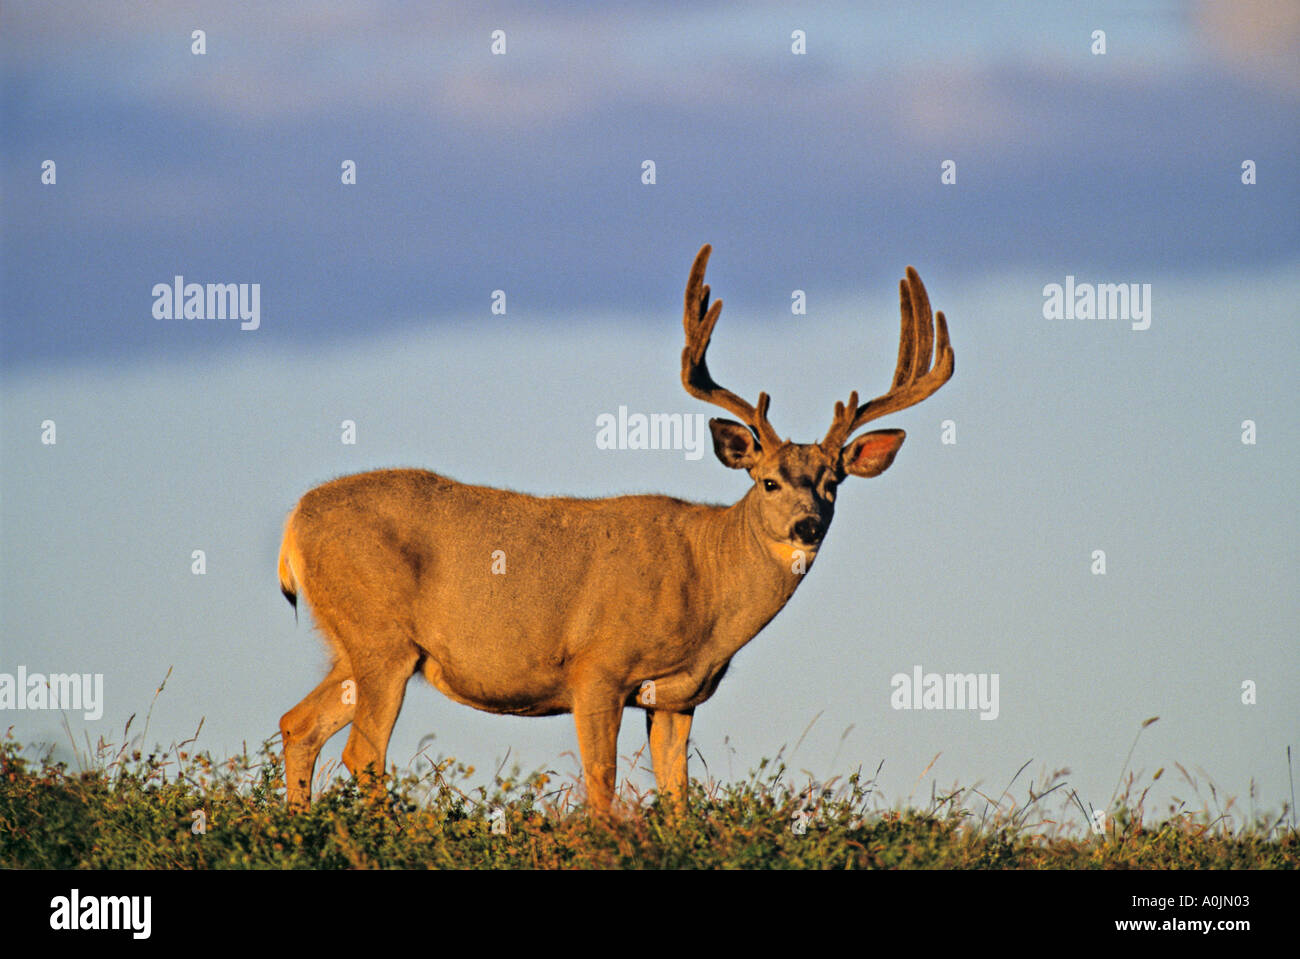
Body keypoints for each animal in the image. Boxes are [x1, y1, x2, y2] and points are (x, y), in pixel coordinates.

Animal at [279, 242, 956, 810]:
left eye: (833, 482)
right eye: (768, 481)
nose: (808, 526)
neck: (706, 584)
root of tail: (294, 523)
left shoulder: (679, 696)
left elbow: (678, 796)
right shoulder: (596, 668)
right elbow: (600, 786)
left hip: (355, 645)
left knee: (298, 725)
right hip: (382, 638)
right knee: (363, 752)